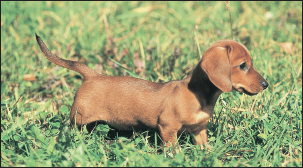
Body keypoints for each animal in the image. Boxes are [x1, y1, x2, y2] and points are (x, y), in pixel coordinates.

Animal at [35, 33, 268, 146]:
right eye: (243, 66)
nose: (266, 84)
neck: (200, 96)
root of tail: (93, 75)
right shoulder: (167, 128)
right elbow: (172, 149)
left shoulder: (199, 130)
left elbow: (204, 148)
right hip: (78, 119)